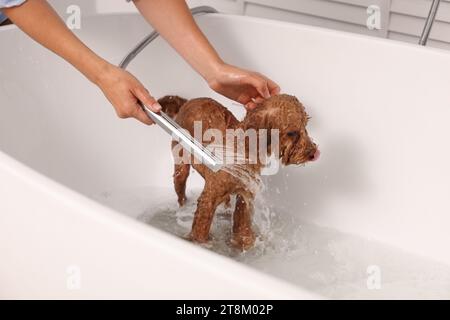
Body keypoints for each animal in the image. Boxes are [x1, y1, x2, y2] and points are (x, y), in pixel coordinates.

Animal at [158, 94, 320, 251]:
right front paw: (200, 244)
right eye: (292, 132)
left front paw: (244, 243)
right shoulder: (208, 199)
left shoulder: (245, 193)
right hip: (181, 168)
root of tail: (188, 101)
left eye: (305, 126)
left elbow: (242, 224)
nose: (314, 153)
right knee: (181, 191)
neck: (243, 148)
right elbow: (200, 229)